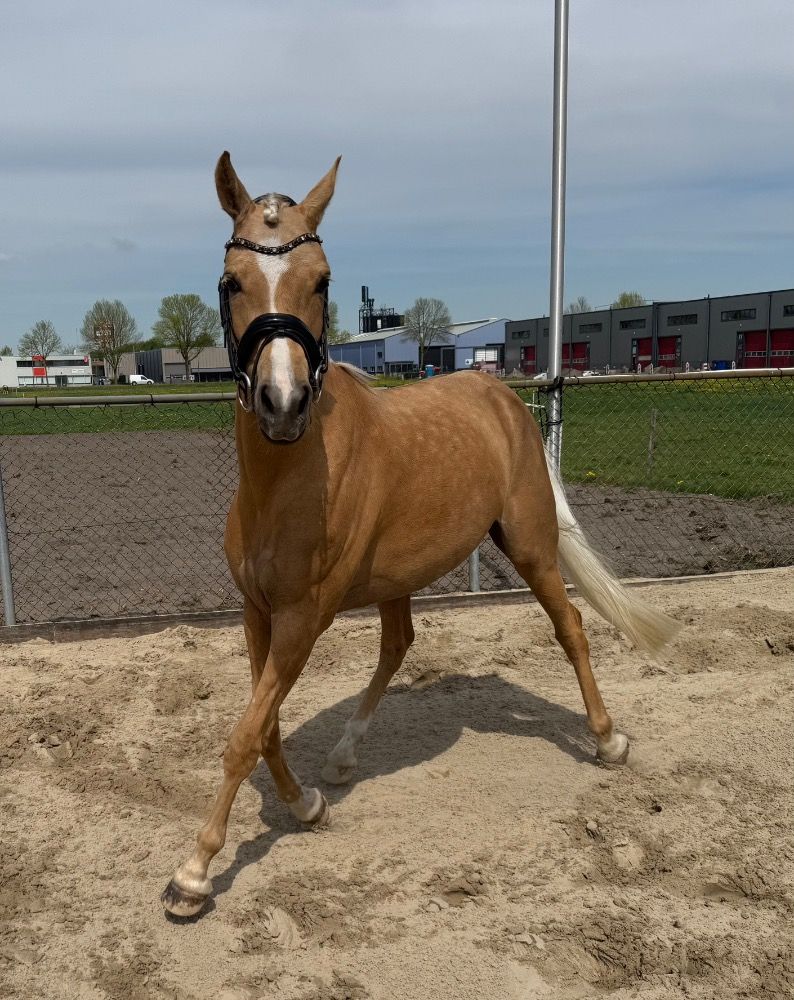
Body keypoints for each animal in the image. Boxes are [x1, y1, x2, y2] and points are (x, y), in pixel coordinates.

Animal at [161, 154, 679, 917]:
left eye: (323, 281)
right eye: (232, 282)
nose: (283, 404)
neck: (285, 482)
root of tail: (503, 398)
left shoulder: (302, 620)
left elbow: (245, 734)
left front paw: (194, 873)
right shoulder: (258, 614)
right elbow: (266, 726)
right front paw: (306, 804)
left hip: (529, 545)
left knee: (572, 628)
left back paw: (608, 741)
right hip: (399, 579)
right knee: (400, 645)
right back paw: (344, 758)